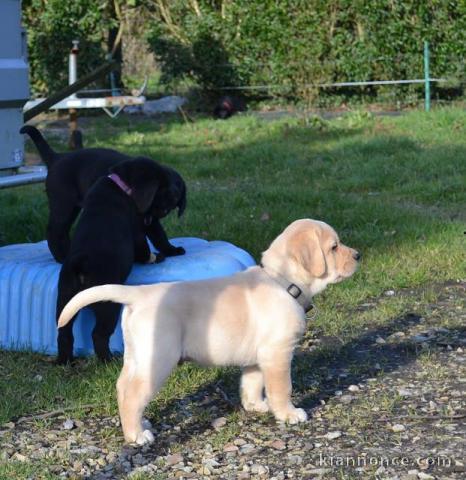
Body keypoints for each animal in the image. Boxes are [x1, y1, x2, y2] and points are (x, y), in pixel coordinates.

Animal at [20, 124, 186, 262]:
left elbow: (159, 236)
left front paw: (171, 250)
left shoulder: (149, 220)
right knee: (55, 231)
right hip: (63, 205)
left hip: (72, 208)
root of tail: (57, 157)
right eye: (160, 194)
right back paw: (63, 257)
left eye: (175, 201)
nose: (164, 211)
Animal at [56, 158, 166, 364]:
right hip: (108, 306)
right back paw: (108, 360)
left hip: (65, 300)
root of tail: (81, 262)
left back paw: (65, 361)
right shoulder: (137, 231)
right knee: (98, 334)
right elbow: (144, 250)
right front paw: (156, 257)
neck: (120, 185)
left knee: (64, 333)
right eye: (161, 188)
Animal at [56, 219, 358, 444]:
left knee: (123, 387)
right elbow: (282, 387)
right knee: (133, 395)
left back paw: (139, 423)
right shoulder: (278, 353)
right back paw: (136, 435)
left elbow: (252, 382)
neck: (282, 281)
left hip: (136, 356)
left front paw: (255, 406)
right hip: (158, 359)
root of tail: (138, 294)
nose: (358, 255)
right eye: (334, 247)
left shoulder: (257, 357)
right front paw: (288, 414)